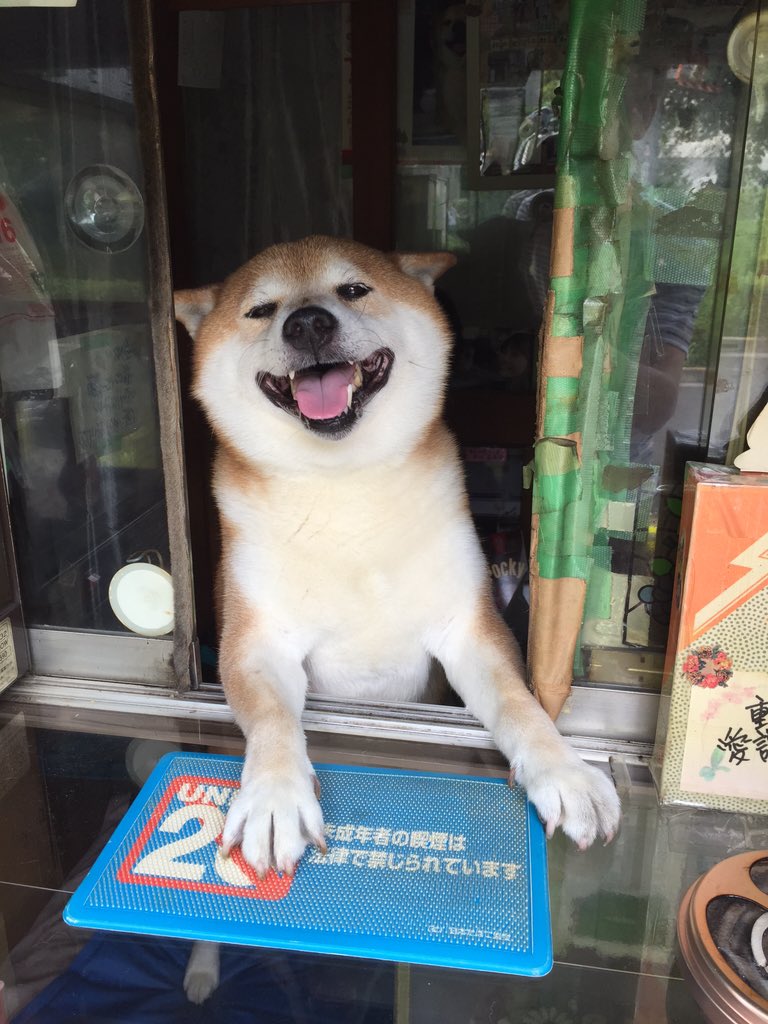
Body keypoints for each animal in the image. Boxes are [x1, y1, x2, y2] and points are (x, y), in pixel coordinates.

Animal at [174, 234, 618, 880]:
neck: (345, 488)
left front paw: (565, 772)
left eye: (354, 289)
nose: (308, 322)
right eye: (260, 310)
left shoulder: (466, 630)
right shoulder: (257, 640)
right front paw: (275, 798)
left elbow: (519, 704)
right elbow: (273, 719)